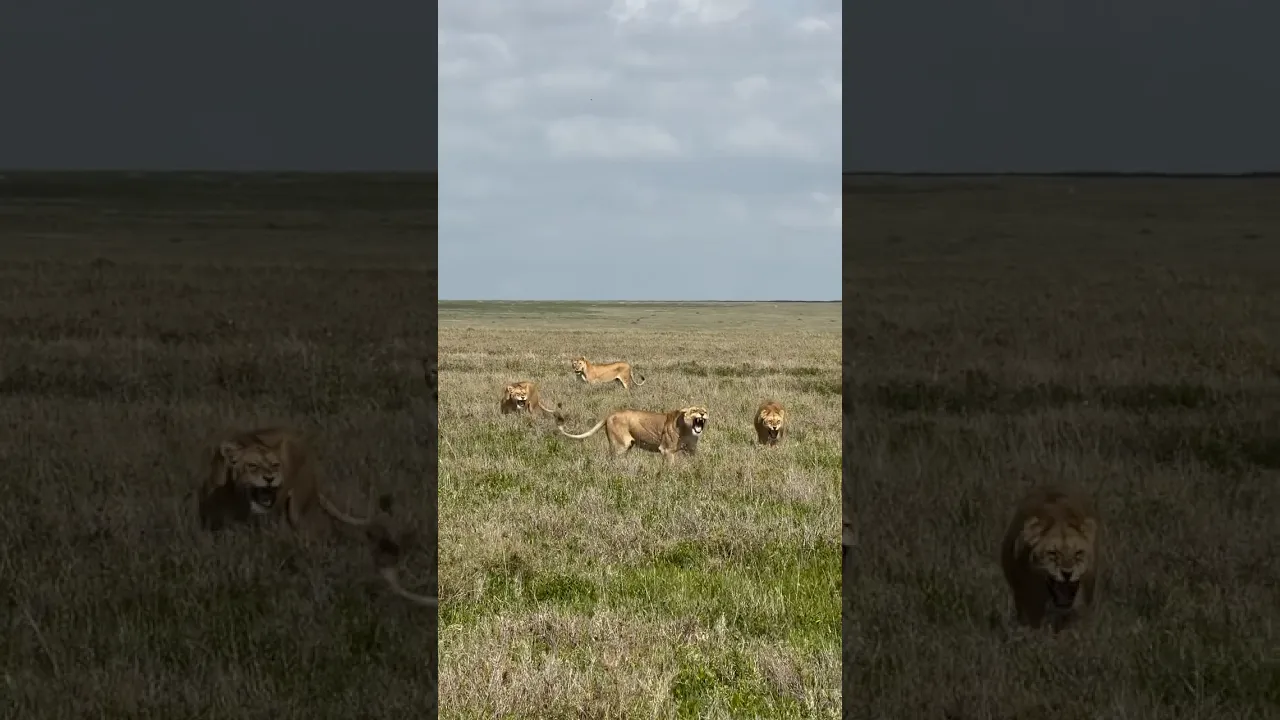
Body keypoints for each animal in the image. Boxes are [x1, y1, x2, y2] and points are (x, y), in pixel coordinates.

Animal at [557, 406, 707, 463]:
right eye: (694, 410)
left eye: (704, 410)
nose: (702, 414)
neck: (688, 430)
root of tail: (611, 414)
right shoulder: (667, 450)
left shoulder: (691, 451)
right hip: (620, 445)